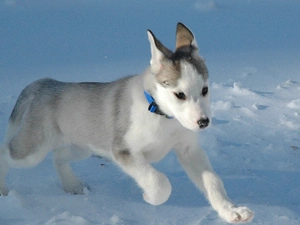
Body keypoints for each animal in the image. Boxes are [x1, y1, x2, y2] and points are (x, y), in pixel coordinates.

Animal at [0, 22, 253, 223]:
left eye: (205, 90)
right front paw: (150, 197)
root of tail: (46, 83)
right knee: (6, 152)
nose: (203, 122)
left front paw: (232, 211)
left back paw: (73, 186)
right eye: (179, 95)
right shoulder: (123, 151)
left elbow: (213, 181)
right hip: (32, 150)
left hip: (82, 145)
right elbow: (159, 181)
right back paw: (3, 190)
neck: (161, 115)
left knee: (58, 156)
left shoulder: (188, 149)